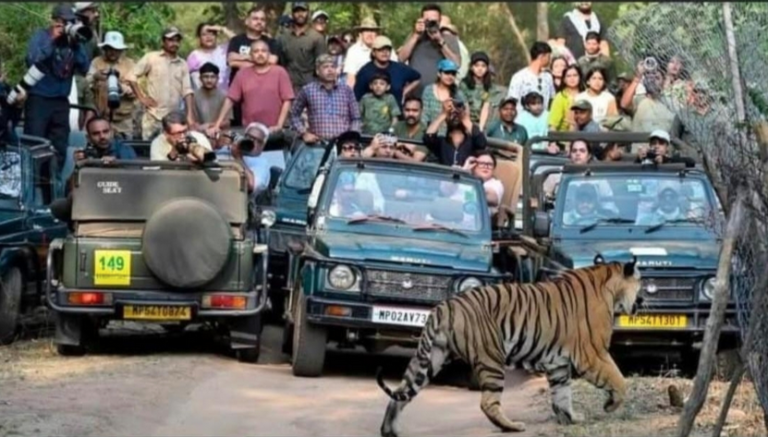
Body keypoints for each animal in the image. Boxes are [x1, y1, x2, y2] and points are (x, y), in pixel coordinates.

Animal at [376, 255, 643, 437]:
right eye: (639, 283)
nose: (642, 300)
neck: (609, 282)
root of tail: (443, 307)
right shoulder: (592, 353)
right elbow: (619, 380)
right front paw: (610, 405)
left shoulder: (558, 363)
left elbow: (562, 393)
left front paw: (571, 418)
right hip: (492, 357)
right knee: (488, 402)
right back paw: (513, 426)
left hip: (431, 358)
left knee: (401, 392)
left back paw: (389, 430)